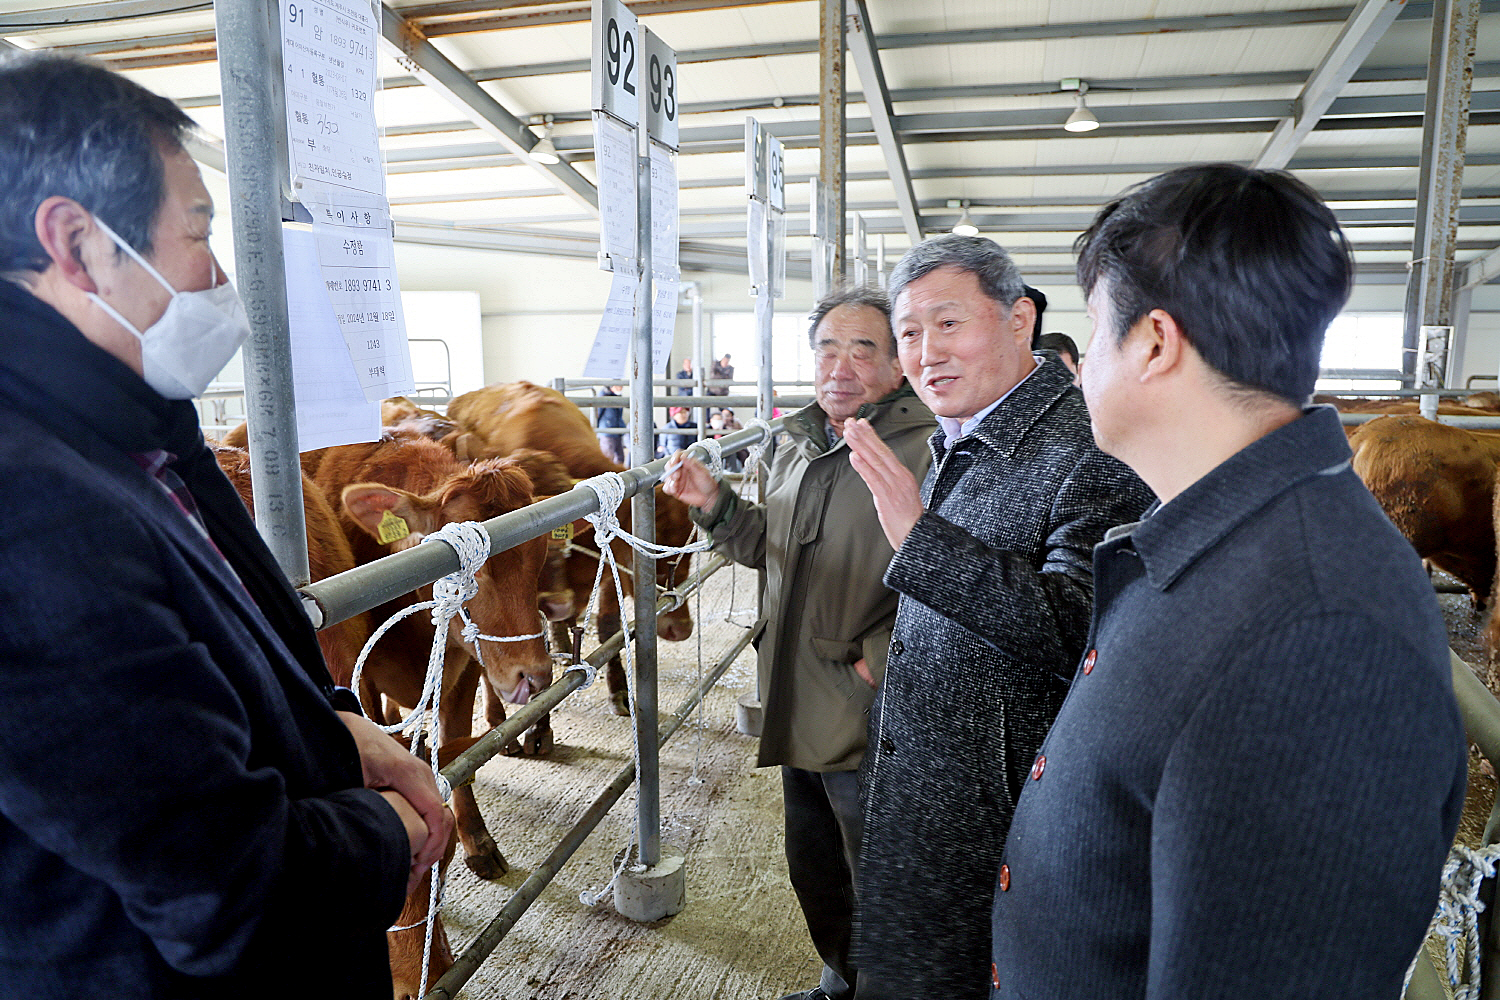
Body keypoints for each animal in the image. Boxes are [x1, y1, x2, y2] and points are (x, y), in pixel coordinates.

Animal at [300, 434, 552, 881]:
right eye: (468, 569)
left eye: (539, 550)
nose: (535, 675)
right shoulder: (359, 675)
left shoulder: (467, 665)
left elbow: (458, 747)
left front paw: (477, 839)